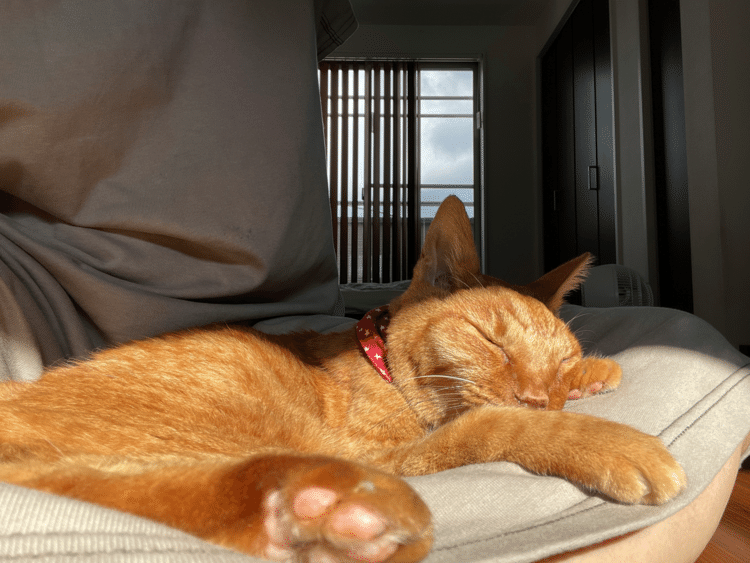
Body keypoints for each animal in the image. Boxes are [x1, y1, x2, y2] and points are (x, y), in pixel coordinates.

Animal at [0, 197, 688, 563]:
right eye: (490, 339)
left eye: (562, 360)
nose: (540, 393)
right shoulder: (394, 453)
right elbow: (493, 424)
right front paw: (610, 441)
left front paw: (598, 373)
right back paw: (330, 507)